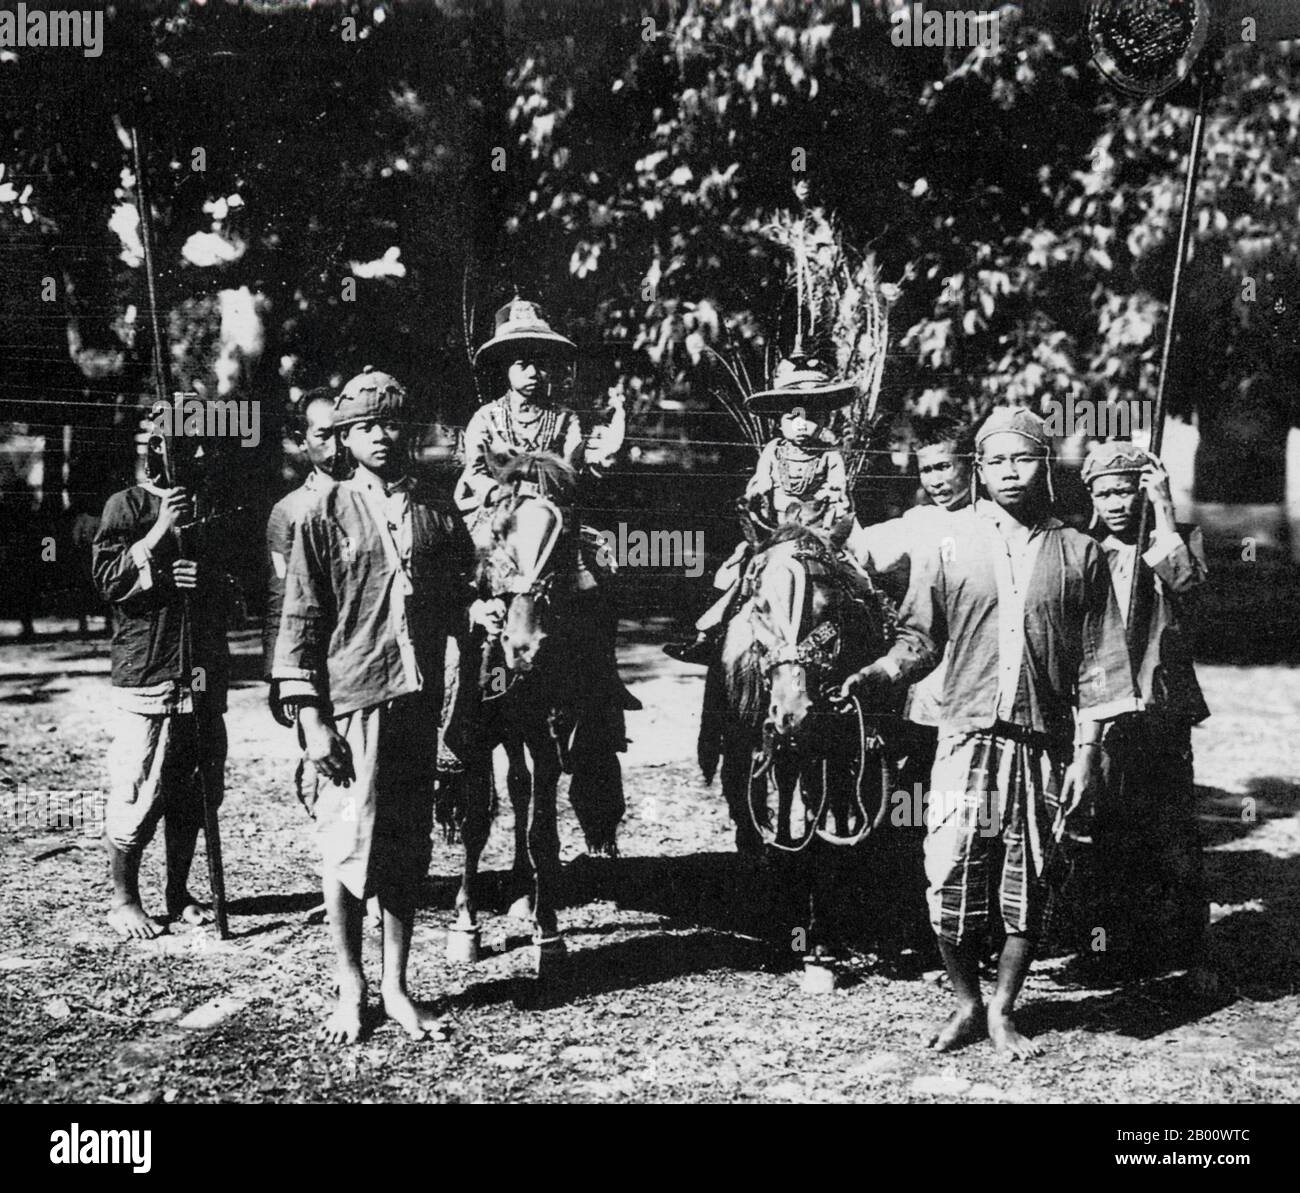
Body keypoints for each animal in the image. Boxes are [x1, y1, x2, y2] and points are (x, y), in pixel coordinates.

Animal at [452, 452, 624, 966]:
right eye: (497, 530)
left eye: (563, 537)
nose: (523, 646)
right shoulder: (479, 727)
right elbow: (475, 820)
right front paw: (465, 926)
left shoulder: (549, 729)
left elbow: (543, 830)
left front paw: (547, 931)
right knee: (513, 785)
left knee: (522, 787)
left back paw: (524, 894)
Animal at [696, 517, 899, 966]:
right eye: (759, 605)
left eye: (830, 608)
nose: (792, 713)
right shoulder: (746, 748)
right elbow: (751, 820)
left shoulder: (834, 753)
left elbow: (826, 819)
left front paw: (822, 928)